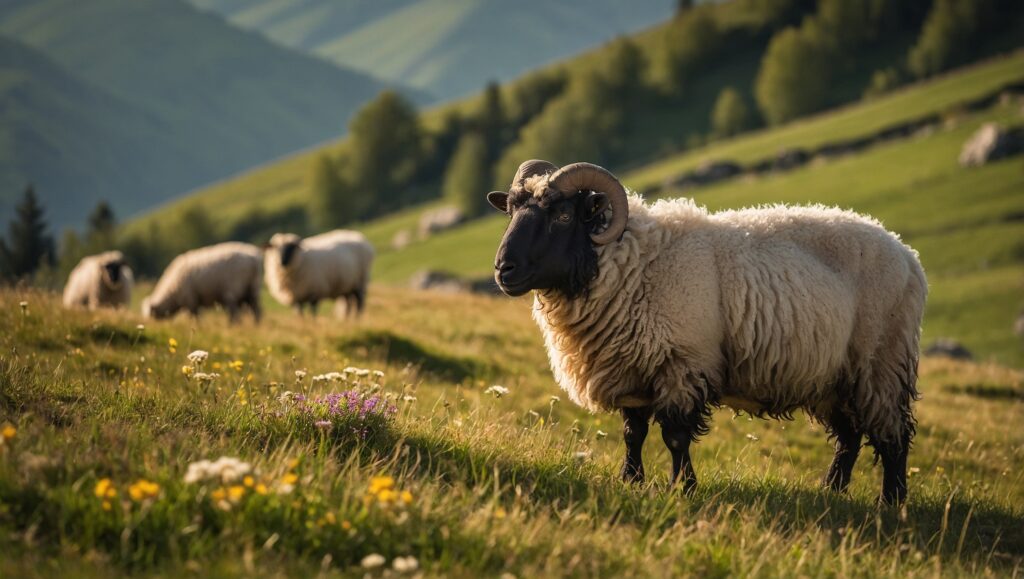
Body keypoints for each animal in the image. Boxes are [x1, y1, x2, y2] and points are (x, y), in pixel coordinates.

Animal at [487, 160, 927, 505]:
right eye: (510, 212)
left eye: (562, 215)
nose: (503, 270)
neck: (631, 264)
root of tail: (907, 254)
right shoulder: (633, 368)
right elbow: (633, 433)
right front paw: (631, 481)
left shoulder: (683, 364)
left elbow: (675, 437)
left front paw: (683, 488)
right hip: (834, 376)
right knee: (849, 437)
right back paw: (832, 492)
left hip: (881, 362)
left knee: (893, 435)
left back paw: (892, 502)